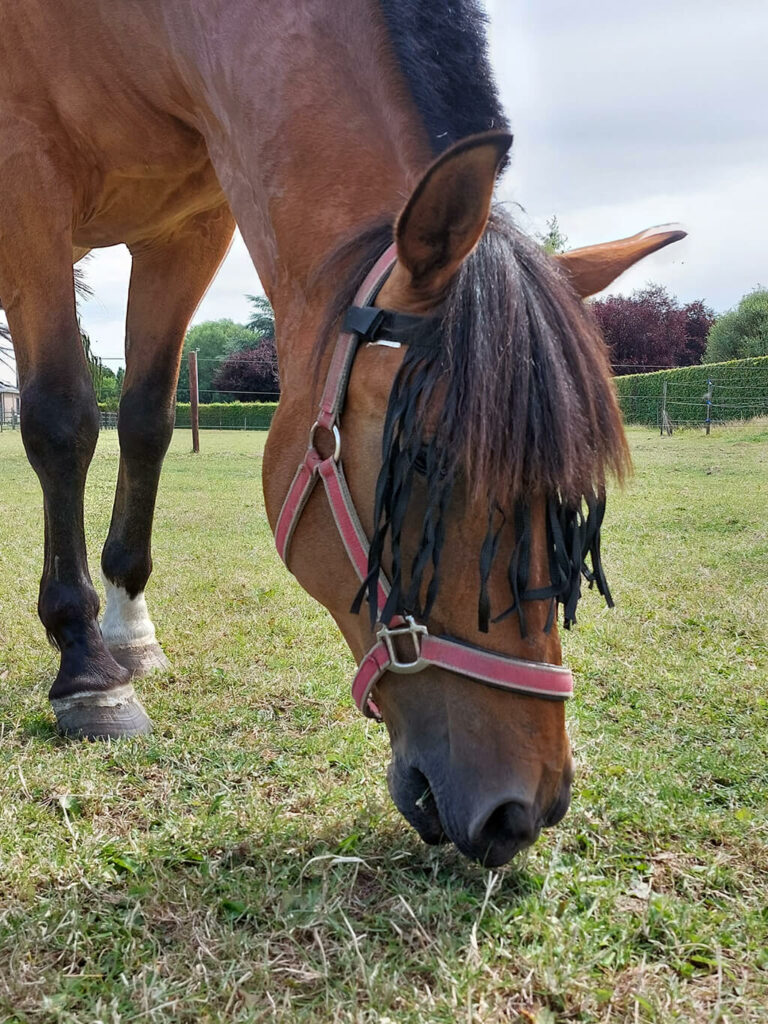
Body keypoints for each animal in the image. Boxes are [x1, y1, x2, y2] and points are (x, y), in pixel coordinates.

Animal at [0, 0, 684, 864]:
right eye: (425, 461)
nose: (525, 809)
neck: (137, 35)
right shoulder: (26, 185)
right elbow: (61, 420)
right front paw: (89, 668)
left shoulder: (187, 229)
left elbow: (147, 420)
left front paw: (130, 629)